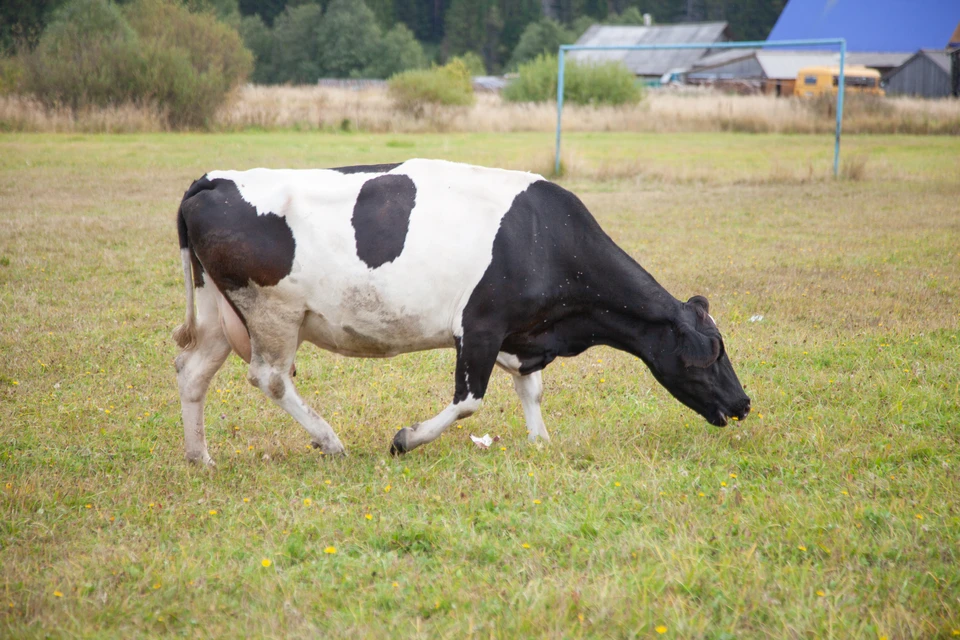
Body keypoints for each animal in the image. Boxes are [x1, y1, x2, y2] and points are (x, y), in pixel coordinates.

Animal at [172, 157, 752, 462]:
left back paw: (201, 458)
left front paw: (541, 443)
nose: (743, 402)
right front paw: (405, 439)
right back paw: (330, 440)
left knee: (191, 371)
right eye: (712, 353)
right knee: (270, 377)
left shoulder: (520, 333)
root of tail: (214, 177)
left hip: (220, 312)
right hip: (273, 311)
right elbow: (469, 400)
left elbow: (531, 390)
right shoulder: (480, 325)